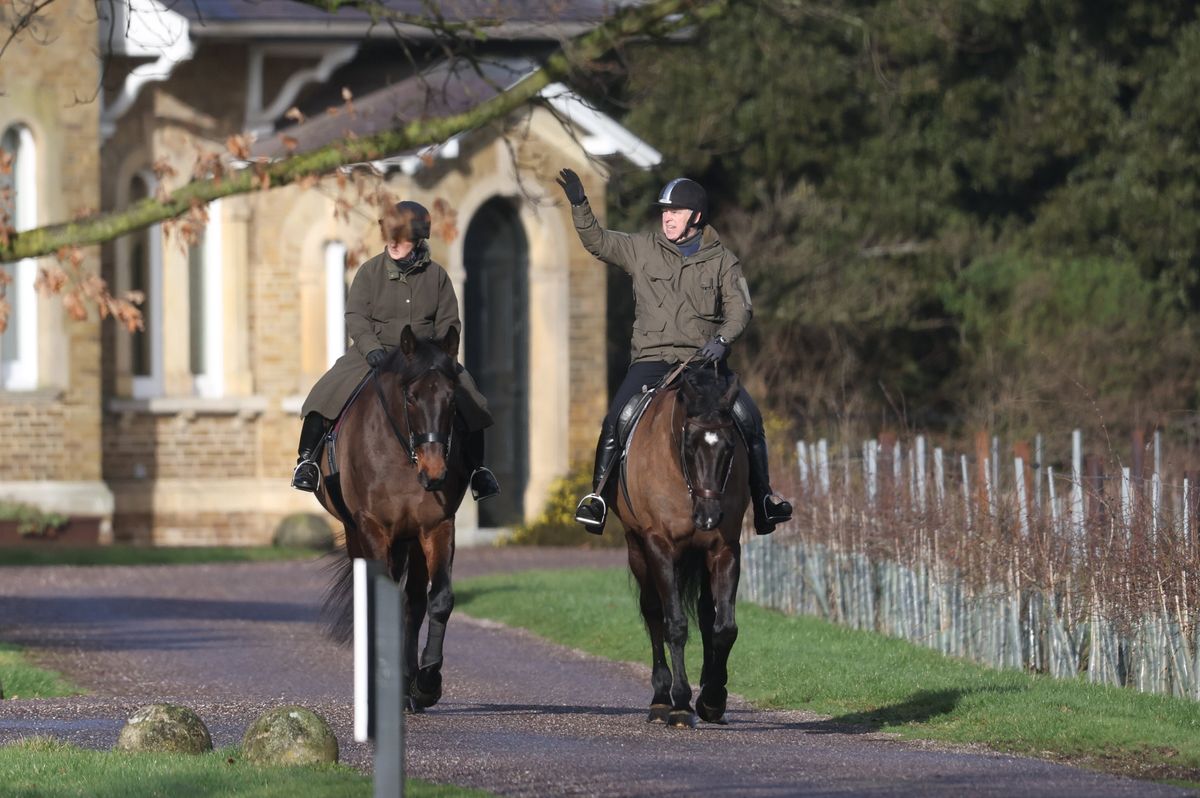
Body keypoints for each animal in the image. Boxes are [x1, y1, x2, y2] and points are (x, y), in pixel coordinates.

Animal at [317, 324, 466, 711]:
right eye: (411, 397)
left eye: (452, 399)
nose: (435, 473)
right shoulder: (372, 527)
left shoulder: (437, 527)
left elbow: (439, 599)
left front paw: (427, 682)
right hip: (359, 534)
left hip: (409, 539)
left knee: (413, 602)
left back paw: (410, 683)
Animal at [616, 366, 750, 728]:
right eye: (689, 445)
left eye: (730, 447)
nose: (708, 517)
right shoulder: (659, 545)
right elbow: (674, 624)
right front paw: (679, 703)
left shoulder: (724, 549)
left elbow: (725, 627)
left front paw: (713, 699)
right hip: (637, 549)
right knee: (653, 612)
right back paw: (661, 698)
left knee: (706, 614)